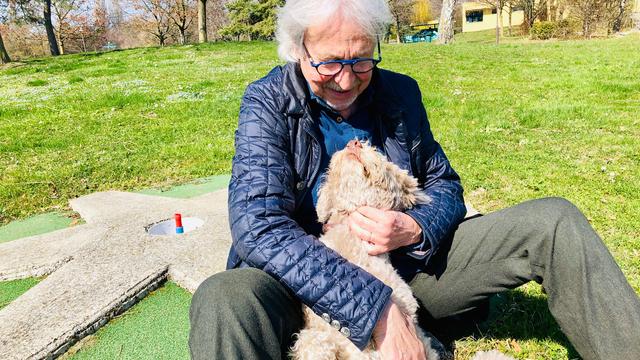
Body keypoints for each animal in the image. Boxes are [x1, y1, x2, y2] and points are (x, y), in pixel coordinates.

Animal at [292, 141, 516, 360]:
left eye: (380, 156)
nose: (354, 142)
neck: (351, 242)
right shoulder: (318, 332)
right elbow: (313, 344)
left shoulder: (402, 304)